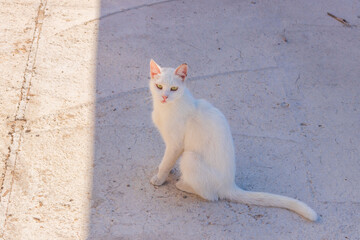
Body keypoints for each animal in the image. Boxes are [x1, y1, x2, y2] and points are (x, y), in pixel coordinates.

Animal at [149, 58, 318, 221]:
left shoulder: (176, 144)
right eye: (159, 86)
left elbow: (167, 162)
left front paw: (159, 178)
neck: (165, 109)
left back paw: (184, 185)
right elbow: (167, 161)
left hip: (190, 158)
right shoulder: (172, 145)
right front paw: (166, 170)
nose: (164, 97)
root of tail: (230, 185)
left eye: (174, 89)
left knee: (212, 196)